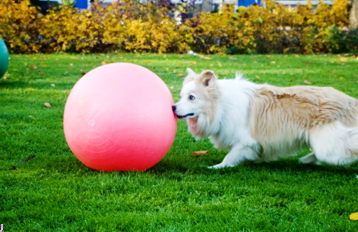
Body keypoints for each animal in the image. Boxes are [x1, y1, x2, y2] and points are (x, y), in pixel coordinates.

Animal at [172, 68, 356, 169]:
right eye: (181, 96)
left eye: (191, 97)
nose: (173, 107)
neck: (221, 105)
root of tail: (352, 102)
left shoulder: (245, 142)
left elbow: (229, 157)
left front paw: (216, 167)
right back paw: (306, 160)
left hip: (328, 145)